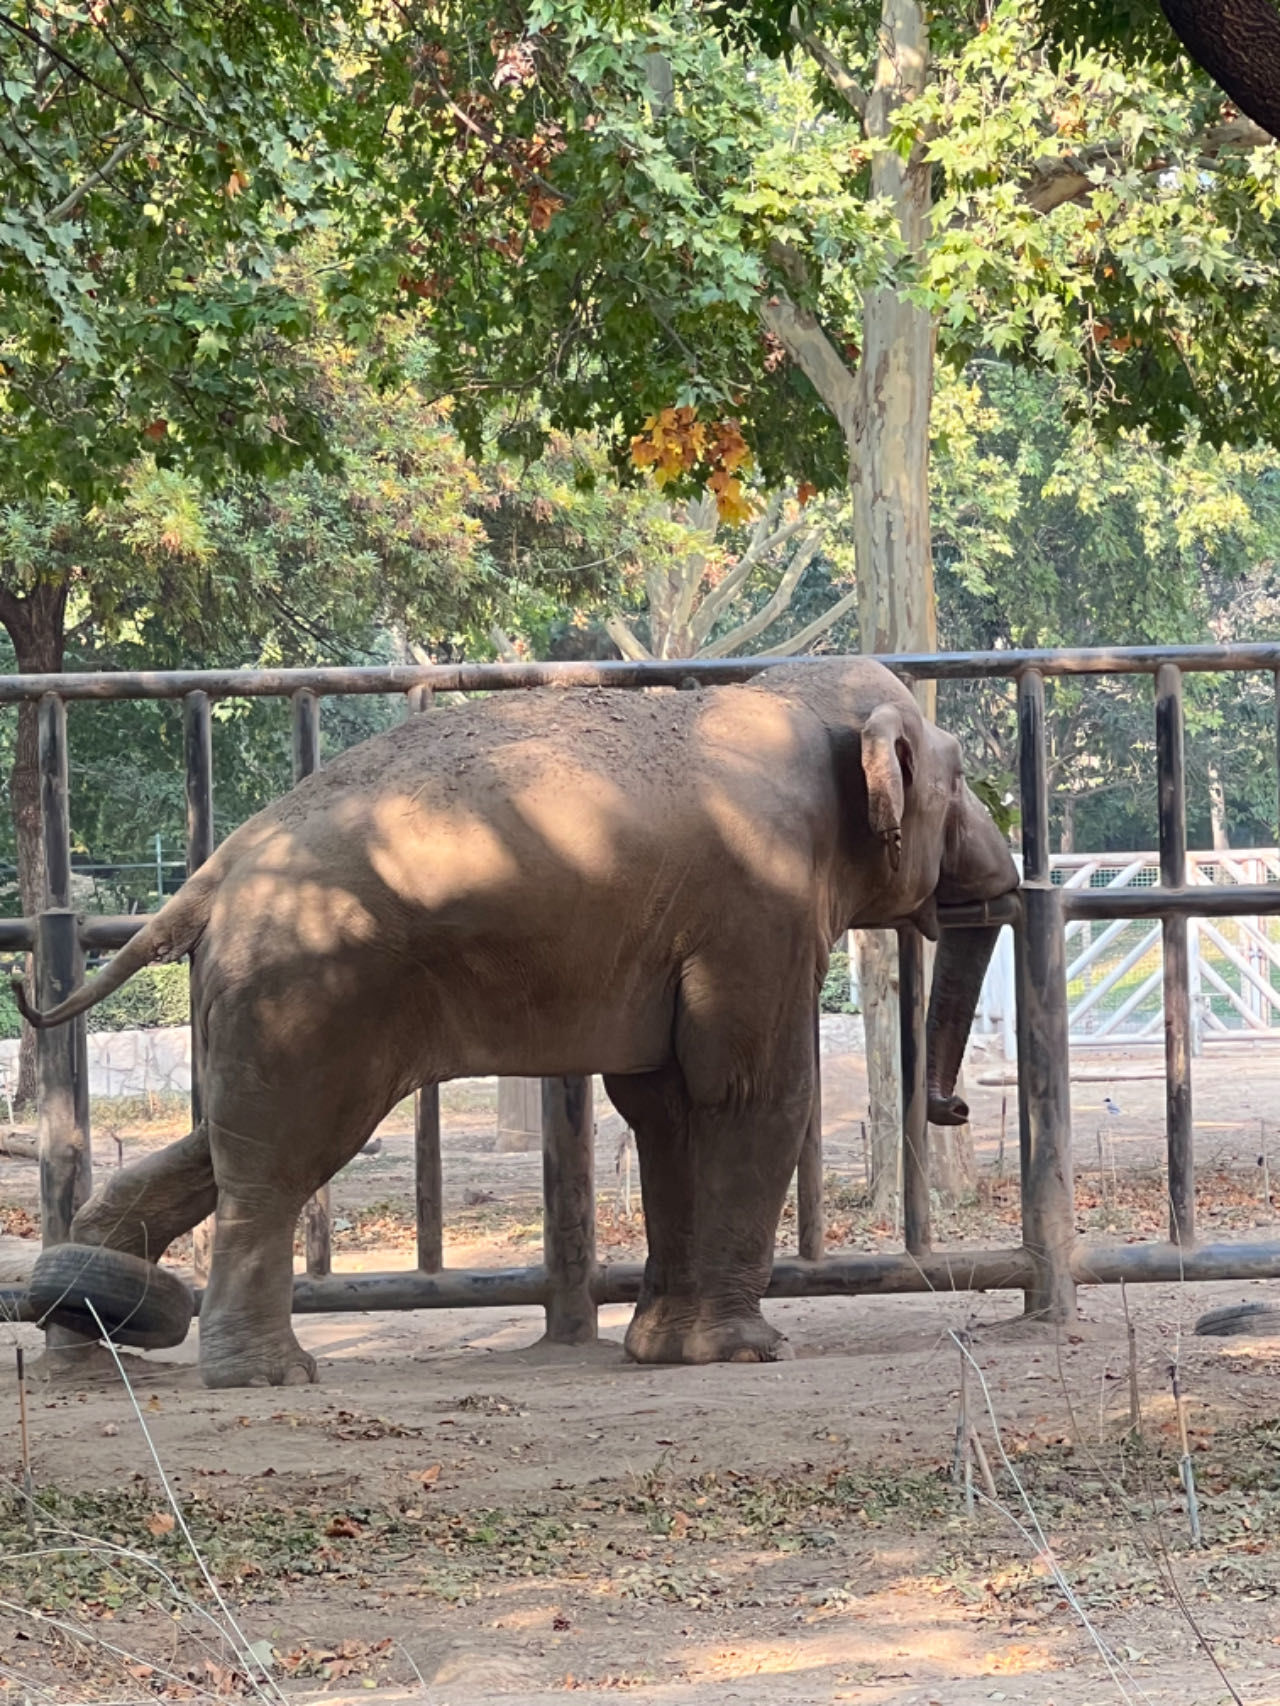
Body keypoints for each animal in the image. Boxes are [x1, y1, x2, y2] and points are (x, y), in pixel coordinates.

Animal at [18, 657, 1018, 1388]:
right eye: (964, 775)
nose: (958, 1107)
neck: (785, 696)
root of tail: (214, 870)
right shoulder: (759, 908)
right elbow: (750, 1094)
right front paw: (744, 1353)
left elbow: (664, 1107)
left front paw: (660, 1351)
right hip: (310, 985)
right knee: (280, 1162)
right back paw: (265, 1376)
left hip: (266, 998)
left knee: (228, 1144)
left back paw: (89, 1324)